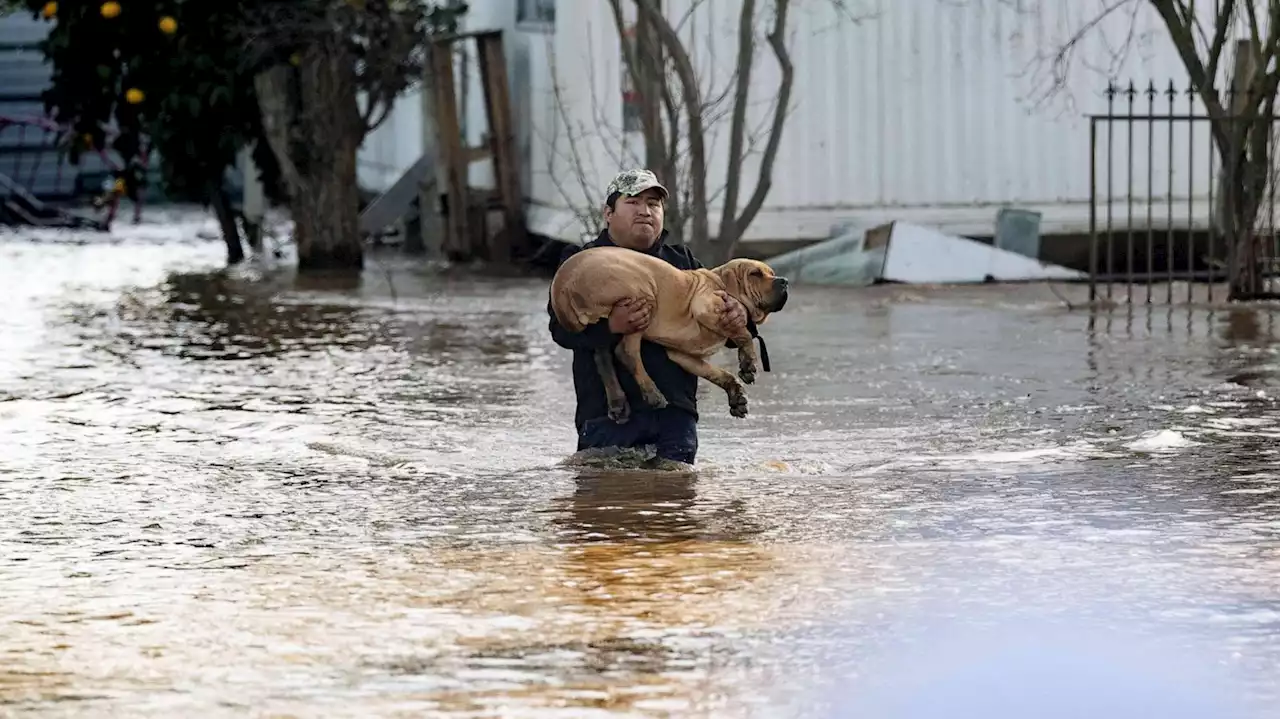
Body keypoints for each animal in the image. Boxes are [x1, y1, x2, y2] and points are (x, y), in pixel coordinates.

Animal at [550, 244, 788, 419]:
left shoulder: (683, 356)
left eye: (772, 273)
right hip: (643, 294)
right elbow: (744, 333)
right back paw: (652, 394)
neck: (718, 281)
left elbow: (718, 373)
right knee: (626, 352)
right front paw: (748, 363)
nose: (784, 281)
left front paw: (736, 396)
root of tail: (562, 284)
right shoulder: (705, 305)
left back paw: (618, 401)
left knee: (603, 357)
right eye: (755, 274)